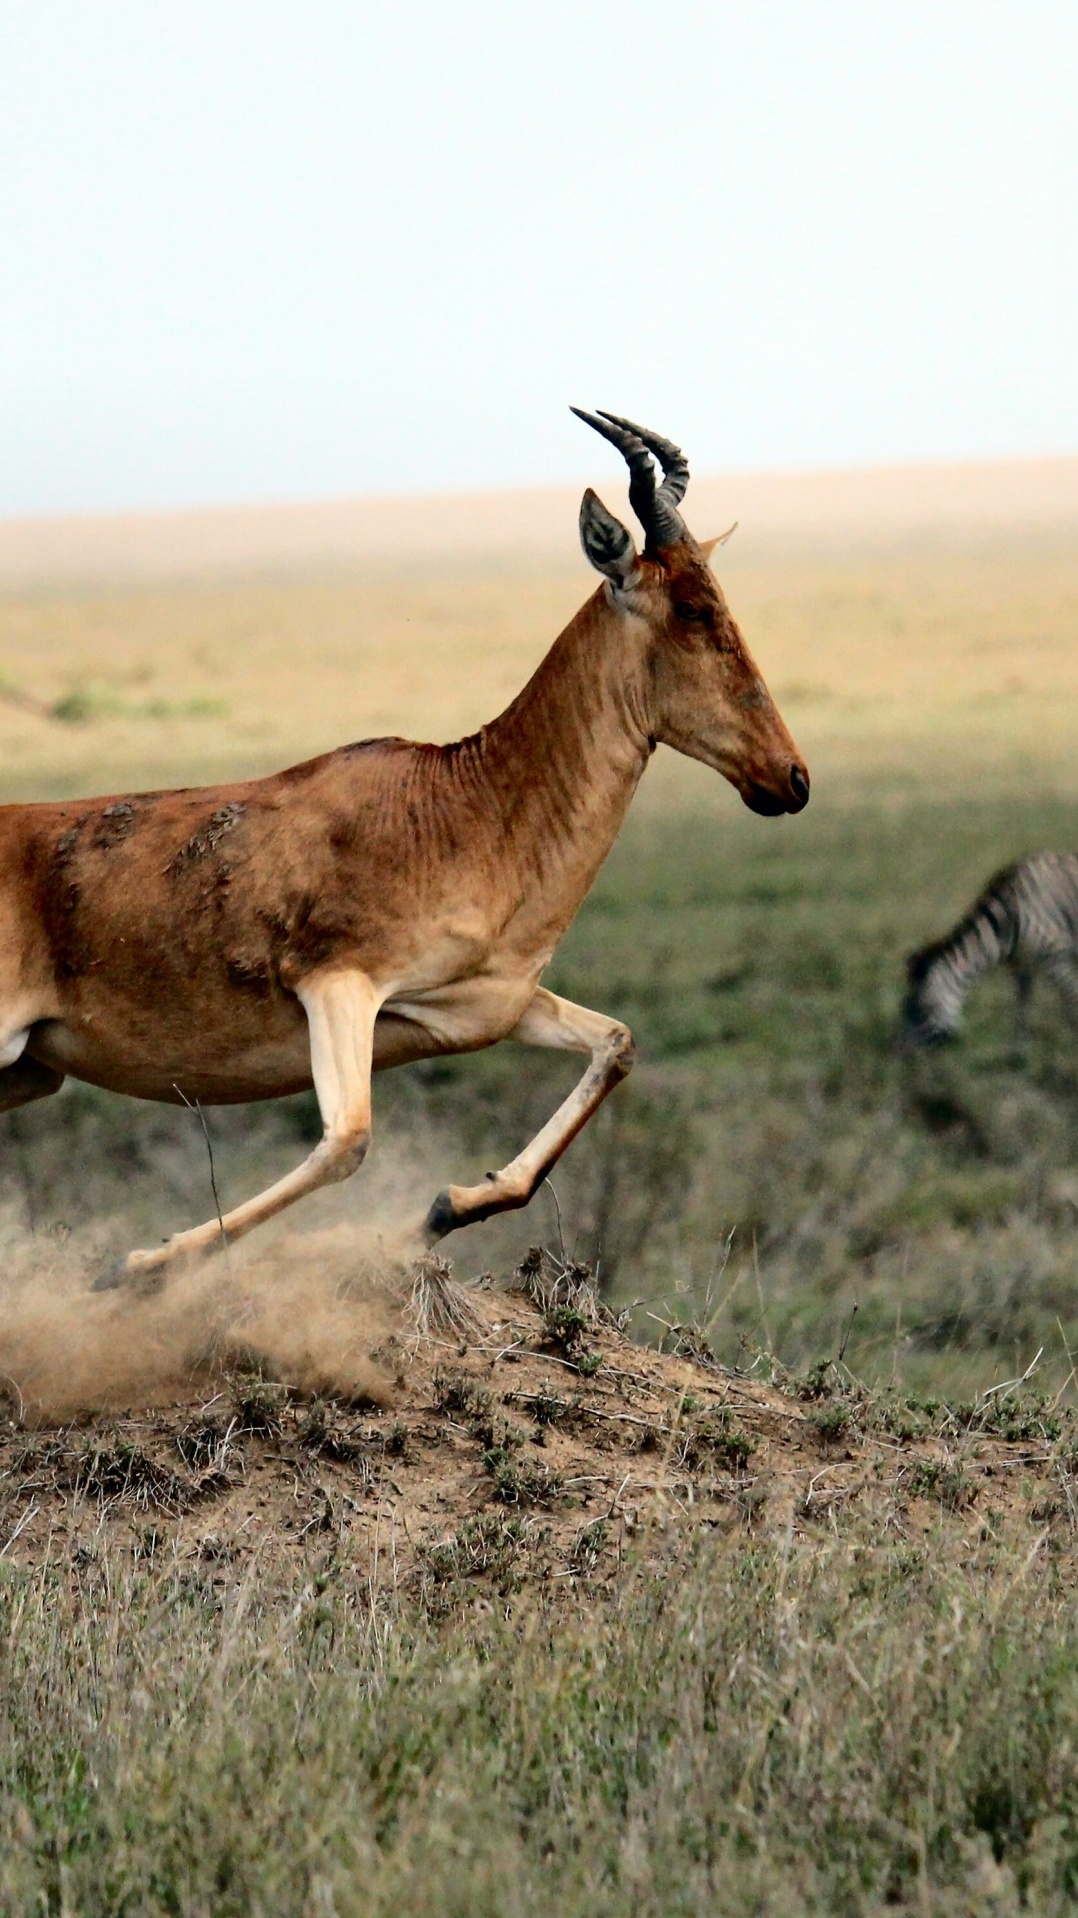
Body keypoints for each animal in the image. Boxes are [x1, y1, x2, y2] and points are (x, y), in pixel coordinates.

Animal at [0, 418, 805, 1288]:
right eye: (692, 607)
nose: (789, 780)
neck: (461, 803)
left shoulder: (492, 1006)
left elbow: (616, 1045)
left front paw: (447, 1207)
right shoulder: (337, 984)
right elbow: (346, 1142)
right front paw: (141, 1264)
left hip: (30, 1070)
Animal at [897, 859, 1078, 1058]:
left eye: (922, 1009)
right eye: (903, 1008)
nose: (901, 1053)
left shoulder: (1057, 960)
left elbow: (1071, 1004)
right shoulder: (1022, 965)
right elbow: (1021, 1008)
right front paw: (1017, 1055)